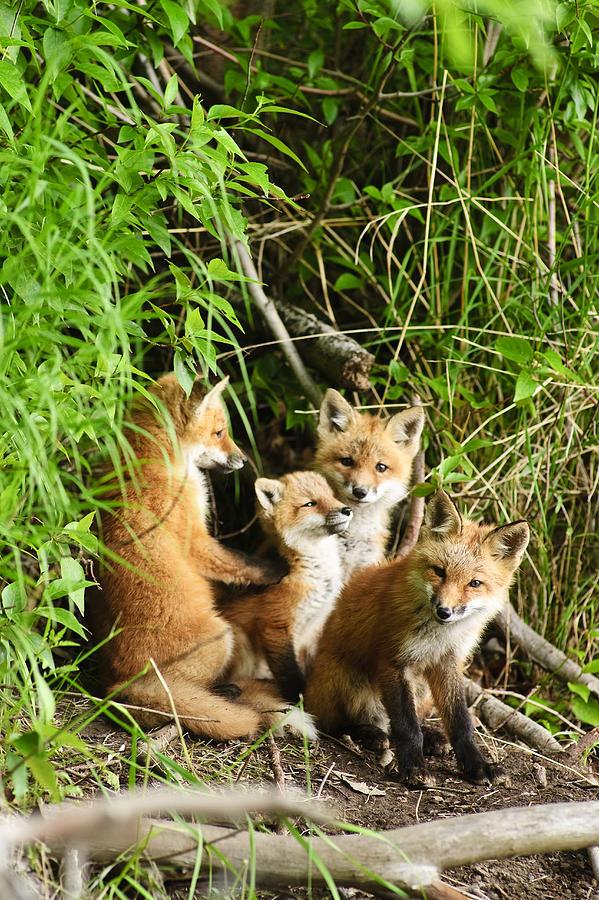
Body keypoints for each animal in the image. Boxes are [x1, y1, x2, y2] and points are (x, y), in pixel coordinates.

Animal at [88, 372, 304, 740]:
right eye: (219, 432)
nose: (243, 460)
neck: (152, 458)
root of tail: (119, 687)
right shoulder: (196, 541)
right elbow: (239, 562)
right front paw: (276, 570)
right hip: (221, 636)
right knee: (195, 689)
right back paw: (226, 693)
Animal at [220, 472, 352, 704]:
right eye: (310, 504)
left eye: (331, 496)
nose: (347, 510)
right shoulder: (276, 624)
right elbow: (290, 673)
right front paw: (300, 700)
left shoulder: (313, 628)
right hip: (237, 639)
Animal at [304, 488, 528, 784]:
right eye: (439, 571)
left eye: (474, 584)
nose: (444, 611)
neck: (439, 637)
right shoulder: (392, 662)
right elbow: (406, 726)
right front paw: (413, 768)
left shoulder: (448, 663)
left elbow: (461, 722)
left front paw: (477, 765)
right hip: (347, 679)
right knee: (334, 723)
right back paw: (366, 733)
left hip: (422, 690)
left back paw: (431, 737)